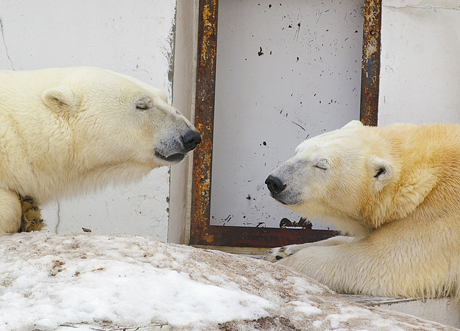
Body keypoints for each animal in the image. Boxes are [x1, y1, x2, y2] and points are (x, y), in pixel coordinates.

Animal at [264, 120, 460, 300]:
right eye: (297, 151)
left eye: (321, 165)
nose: (275, 181)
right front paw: (281, 251)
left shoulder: (435, 223)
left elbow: (373, 262)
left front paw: (284, 264)